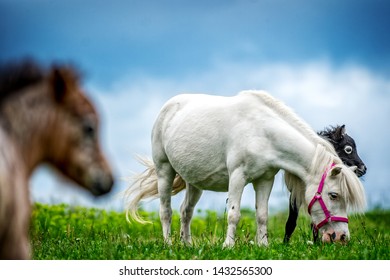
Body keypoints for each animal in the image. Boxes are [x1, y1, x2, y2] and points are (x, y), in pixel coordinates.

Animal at [125, 91, 366, 246]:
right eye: (333, 195)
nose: (342, 238)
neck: (263, 132)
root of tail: (167, 107)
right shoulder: (237, 177)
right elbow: (234, 214)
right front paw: (228, 246)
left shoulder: (265, 179)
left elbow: (262, 215)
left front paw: (263, 246)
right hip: (164, 170)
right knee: (166, 211)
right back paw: (168, 245)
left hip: (194, 181)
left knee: (186, 211)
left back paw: (187, 245)